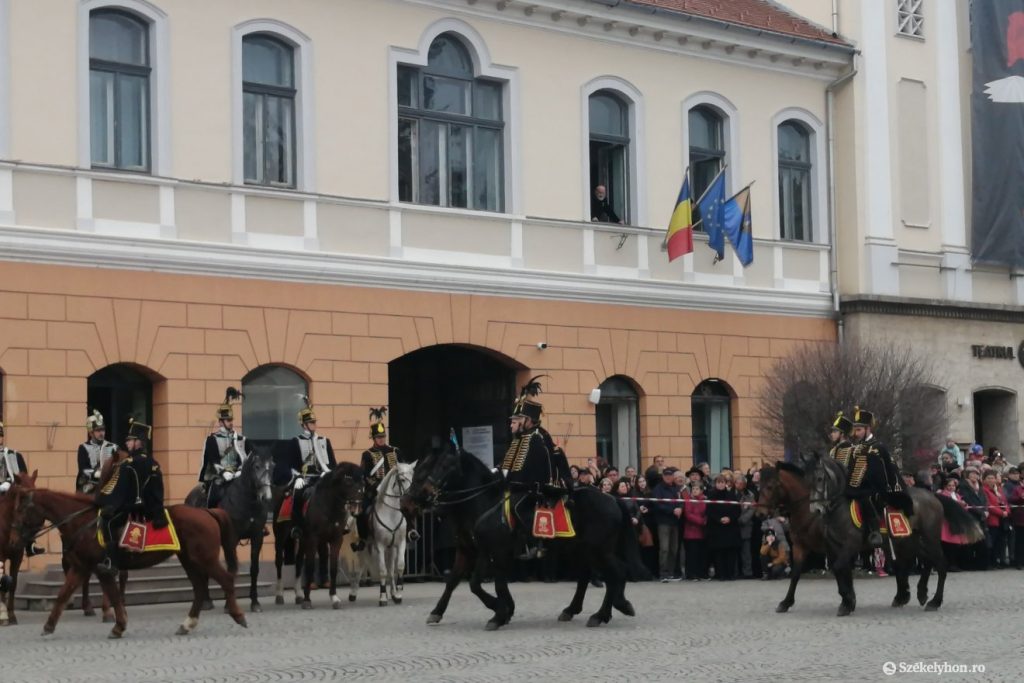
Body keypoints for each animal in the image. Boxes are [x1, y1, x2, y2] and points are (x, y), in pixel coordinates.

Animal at [6, 479, 247, 638]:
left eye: (21, 511)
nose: (13, 540)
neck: (84, 523)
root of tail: (207, 512)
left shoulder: (100, 568)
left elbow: (113, 596)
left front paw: (118, 625)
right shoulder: (81, 566)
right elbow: (63, 594)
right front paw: (48, 626)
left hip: (204, 559)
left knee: (226, 580)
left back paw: (237, 615)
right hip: (188, 559)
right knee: (199, 588)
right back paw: (187, 624)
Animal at [184, 448, 272, 614]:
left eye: (272, 467)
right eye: (256, 466)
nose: (266, 495)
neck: (247, 501)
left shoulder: (257, 536)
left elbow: (254, 569)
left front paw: (255, 602)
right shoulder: (232, 539)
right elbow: (231, 569)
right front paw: (228, 604)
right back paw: (206, 601)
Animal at [350, 462, 413, 606]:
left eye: (412, 478)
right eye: (402, 479)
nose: (409, 499)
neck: (391, 514)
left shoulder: (400, 544)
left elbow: (399, 567)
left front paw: (398, 594)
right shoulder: (380, 546)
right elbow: (382, 571)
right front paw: (383, 597)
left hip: (391, 549)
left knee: (390, 569)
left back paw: (393, 593)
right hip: (364, 547)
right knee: (360, 567)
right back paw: (353, 593)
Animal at [403, 444, 643, 630]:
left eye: (445, 466)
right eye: (422, 468)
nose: (411, 499)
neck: (483, 502)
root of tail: (612, 499)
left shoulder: (492, 551)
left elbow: (477, 583)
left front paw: (499, 611)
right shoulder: (468, 550)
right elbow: (454, 581)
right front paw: (438, 611)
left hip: (598, 549)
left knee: (616, 573)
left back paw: (605, 612)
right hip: (579, 549)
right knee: (589, 575)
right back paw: (580, 609)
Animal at [806, 450, 983, 618]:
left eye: (820, 479)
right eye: (806, 479)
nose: (816, 509)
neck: (839, 508)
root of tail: (933, 495)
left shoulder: (851, 544)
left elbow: (838, 568)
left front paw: (848, 599)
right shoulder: (833, 547)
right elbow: (842, 570)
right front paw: (848, 602)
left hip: (928, 538)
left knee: (940, 564)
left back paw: (934, 601)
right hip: (910, 541)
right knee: (923, 562)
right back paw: (916, 594)